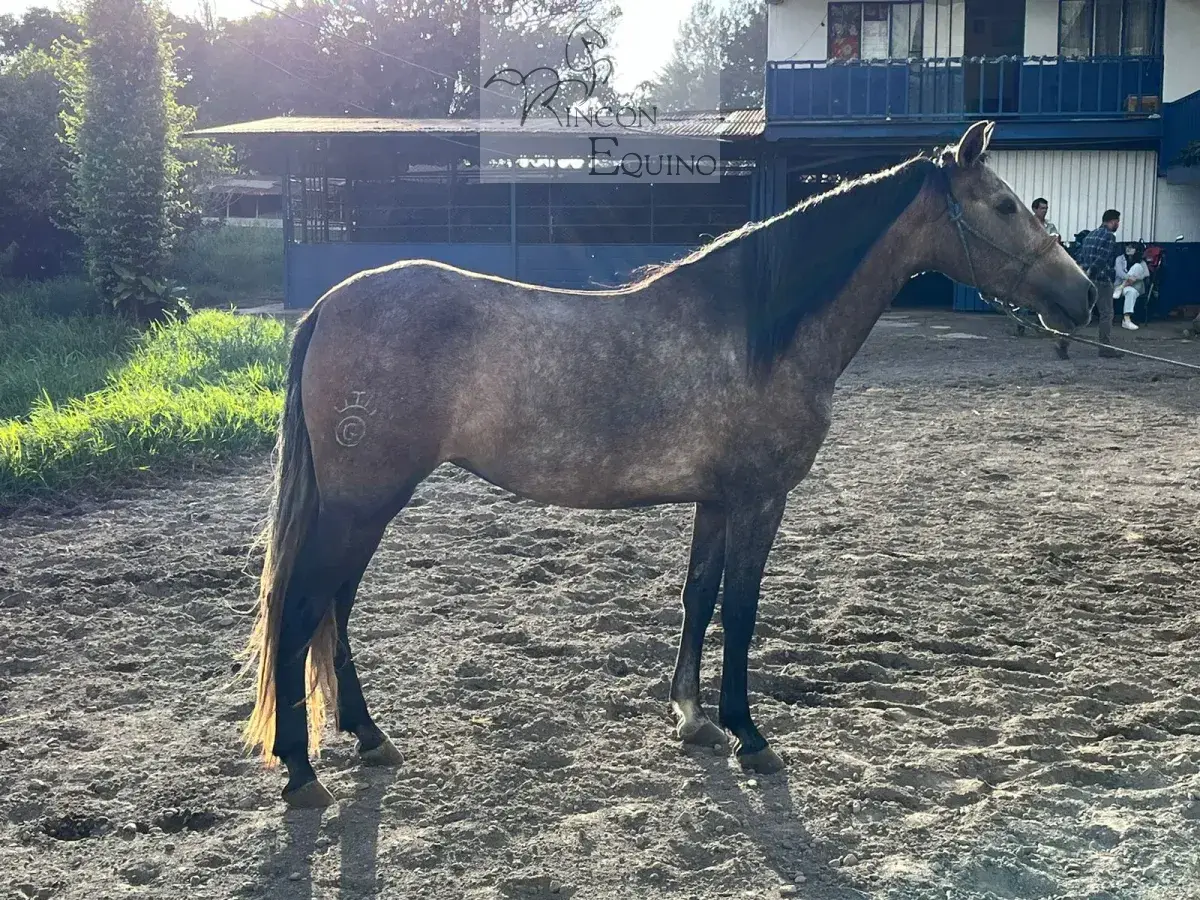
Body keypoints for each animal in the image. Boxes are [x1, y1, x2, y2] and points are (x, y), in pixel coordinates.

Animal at [241, 120, 1095, 807]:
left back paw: (368, 737)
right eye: (1005, 206)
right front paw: (750, 735)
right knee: (302, 610)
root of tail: (331, 304)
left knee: (333, 609)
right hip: (362, 505)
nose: (1084, 297)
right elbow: (742, 611)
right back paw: (301, 772)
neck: (757, 330)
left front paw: (691, 719)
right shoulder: (759, 500)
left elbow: (697, 598)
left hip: (365, 508)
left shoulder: (715, 501)